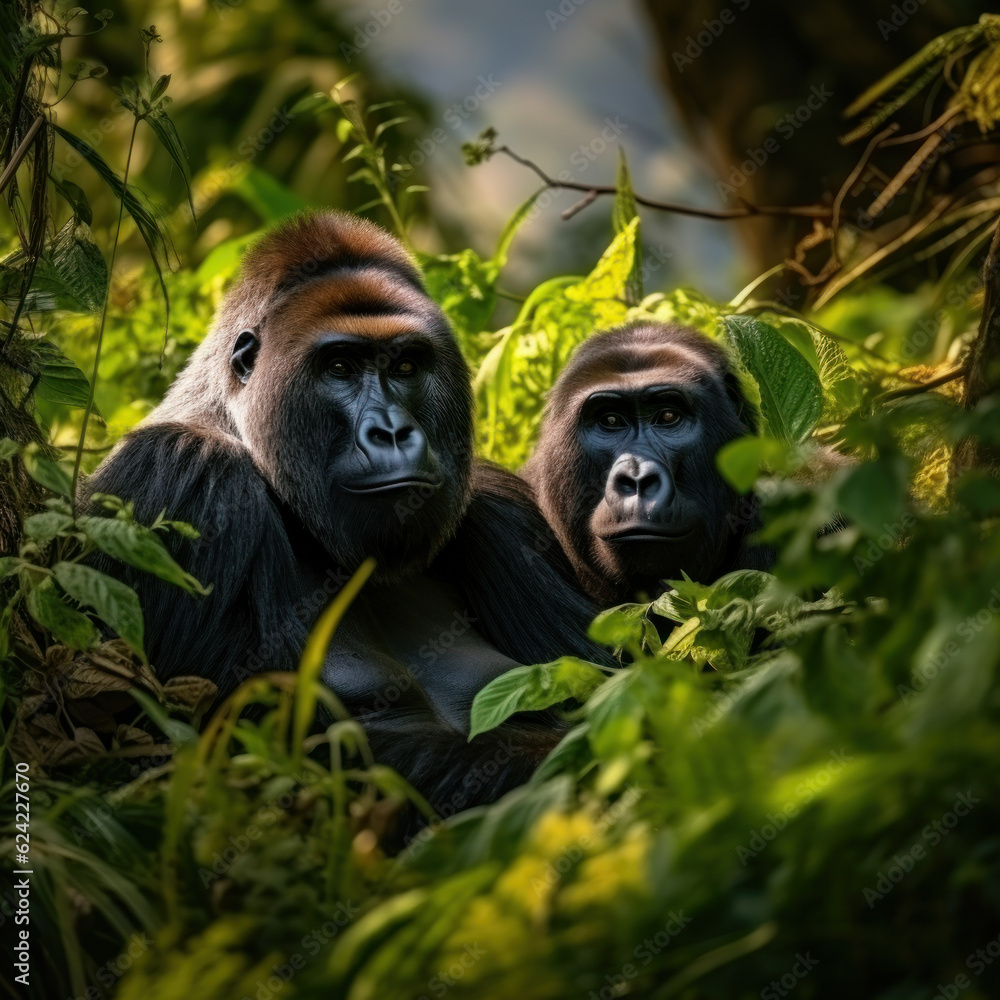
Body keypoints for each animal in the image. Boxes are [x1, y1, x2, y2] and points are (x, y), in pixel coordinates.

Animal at [83, 211, 612, 830]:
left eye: (406, 366)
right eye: (340, 367)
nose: (392, 433)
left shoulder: (498, 505)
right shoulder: (182, 476)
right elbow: (185, 766)